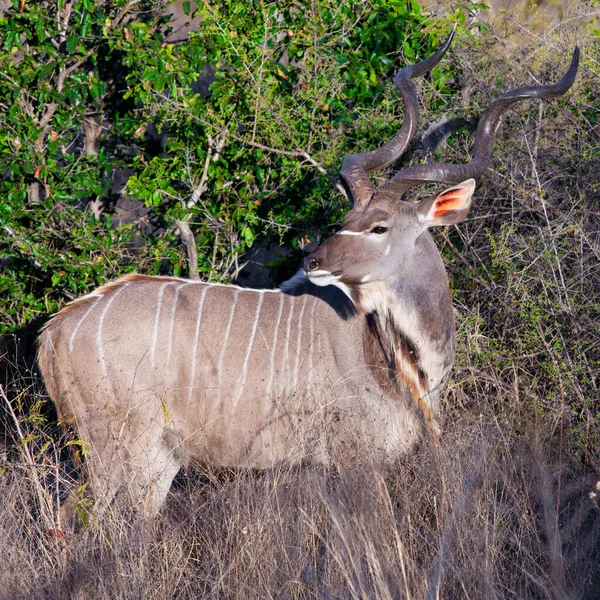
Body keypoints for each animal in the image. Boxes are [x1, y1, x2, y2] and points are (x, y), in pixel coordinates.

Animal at [36, 32, 576, 516]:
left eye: (378, 226)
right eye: (347, 218)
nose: (313, 262)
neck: (395, 360)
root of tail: (54, 331)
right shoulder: (354, 460)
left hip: (156, 462)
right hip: (118, 451)